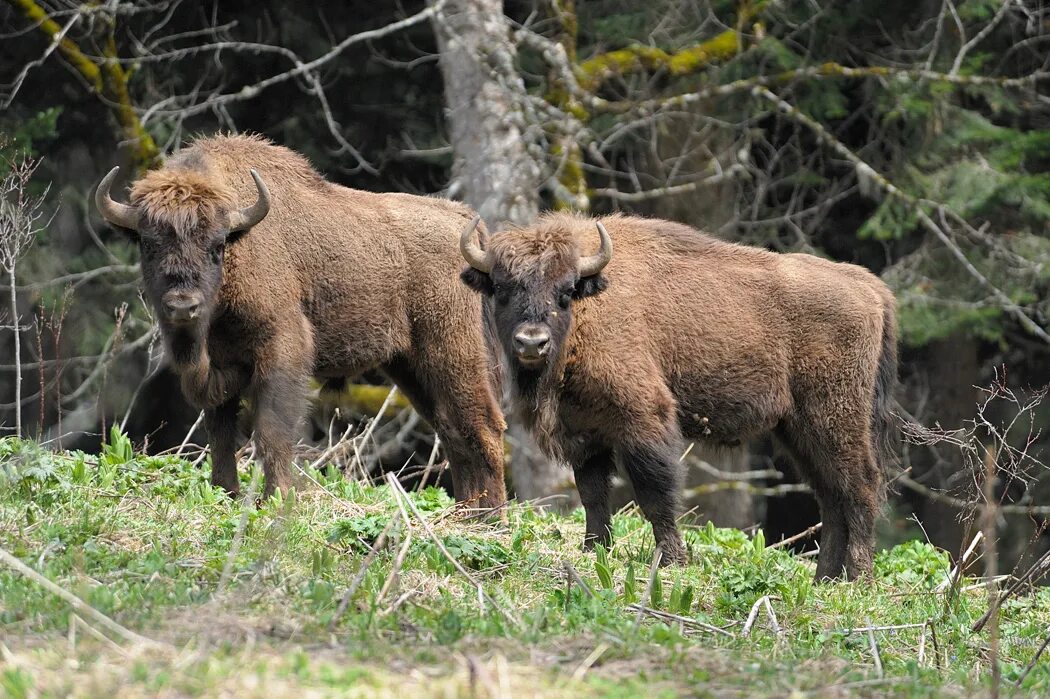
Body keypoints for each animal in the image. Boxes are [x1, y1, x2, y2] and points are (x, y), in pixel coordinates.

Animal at [96, 134, 506, 505]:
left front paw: (277, 498)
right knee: (453, 432)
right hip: (410, 368)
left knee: (484, 427)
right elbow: (220, 433)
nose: (183, 306)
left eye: (218, 245)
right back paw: (468, 513)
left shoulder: (282, 349)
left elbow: (271, 431)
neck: (242, 243)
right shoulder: (219, 367)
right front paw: (226, 493)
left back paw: (490, 517)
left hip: (452, 353)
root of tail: (464, 222)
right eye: (148, 244)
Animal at [459, 212, 894, 575]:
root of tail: (869, 287)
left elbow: (655, 491)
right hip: (799, 430)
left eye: (565, 292)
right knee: (832, 495)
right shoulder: (585, 434)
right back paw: (827, 578)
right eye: (501, 288)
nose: (532, 343)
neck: (591, 305)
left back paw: (859, 577)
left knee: (860, 486)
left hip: (835, 417)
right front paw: (594, 550)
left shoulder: (644, 421)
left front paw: (671, 560)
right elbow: (593, 494)